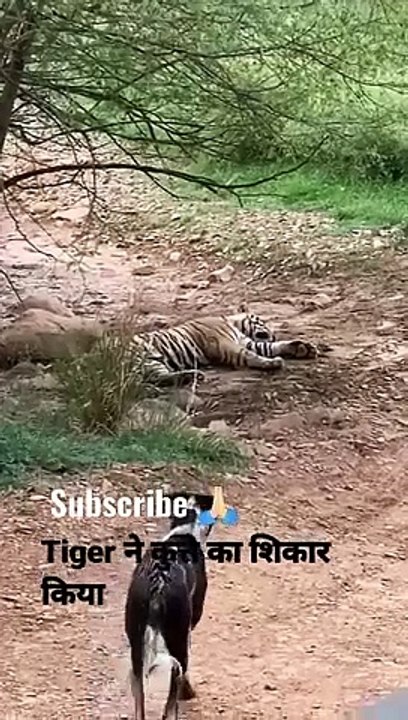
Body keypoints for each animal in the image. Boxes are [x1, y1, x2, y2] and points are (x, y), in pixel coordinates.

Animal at [131, 312, 321, 386]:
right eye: (263, 321)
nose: (273, 334)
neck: (233, 323)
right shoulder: (225, 344)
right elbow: (249, 355)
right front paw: (272, 363)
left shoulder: (247, 342)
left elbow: (270, 347)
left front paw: (304, 348)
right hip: (145, 357)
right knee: (155, 378)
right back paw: (193, 375)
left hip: (153, 361)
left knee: (155, 378)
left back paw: (191, 376)